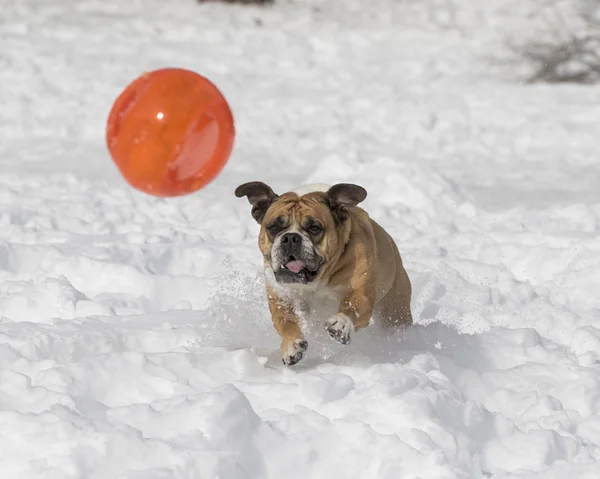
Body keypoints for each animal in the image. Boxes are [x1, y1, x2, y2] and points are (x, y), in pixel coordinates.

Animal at [236, 182, 412, 366]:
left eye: (314, 228)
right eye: (273, 227)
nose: (290, 237)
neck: (316, 282)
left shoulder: (360, 292)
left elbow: (352, 306)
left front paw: (341, 323)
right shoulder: (280, 299)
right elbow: (286, 322)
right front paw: (291, 345)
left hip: (395, 309)